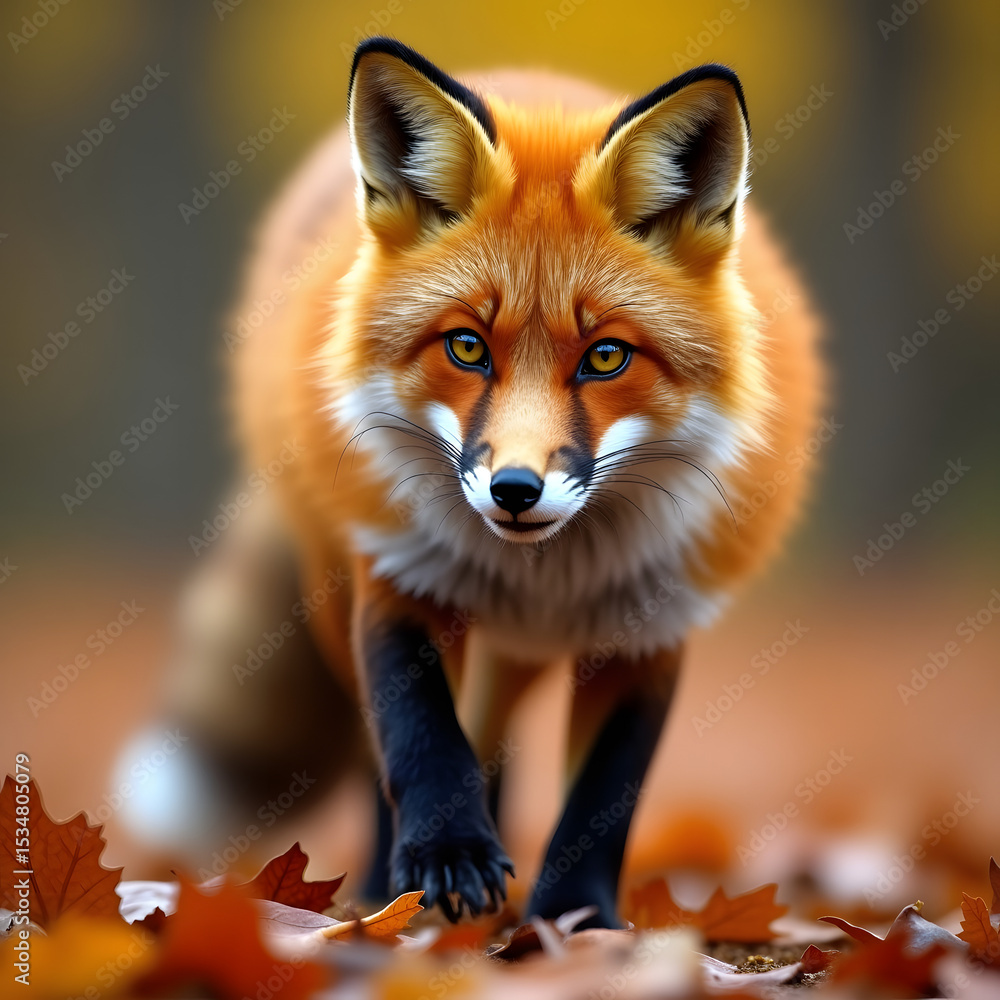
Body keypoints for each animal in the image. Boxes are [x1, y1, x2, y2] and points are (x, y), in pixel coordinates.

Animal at [128, 37, 821, 929]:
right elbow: (420, 738)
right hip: (333, 593)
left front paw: (575, 920)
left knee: (492, 735)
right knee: (388, 747)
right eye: (466, 347)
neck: (546, 578)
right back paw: (386, 888)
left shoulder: (652, 626)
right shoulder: (397, 574)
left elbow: (605, 795)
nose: (515, 490)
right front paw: (445, 860)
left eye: (606, 356)